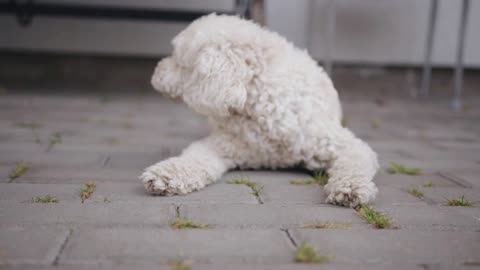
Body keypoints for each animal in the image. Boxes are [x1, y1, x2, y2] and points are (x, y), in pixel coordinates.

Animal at [139, 13, 378, 208]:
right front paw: (165, 175)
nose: (155, 74)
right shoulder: (223, 144)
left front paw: (349, 189)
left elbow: (353, 164)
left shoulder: (343, 145)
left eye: (179, 62)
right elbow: (193, 159)